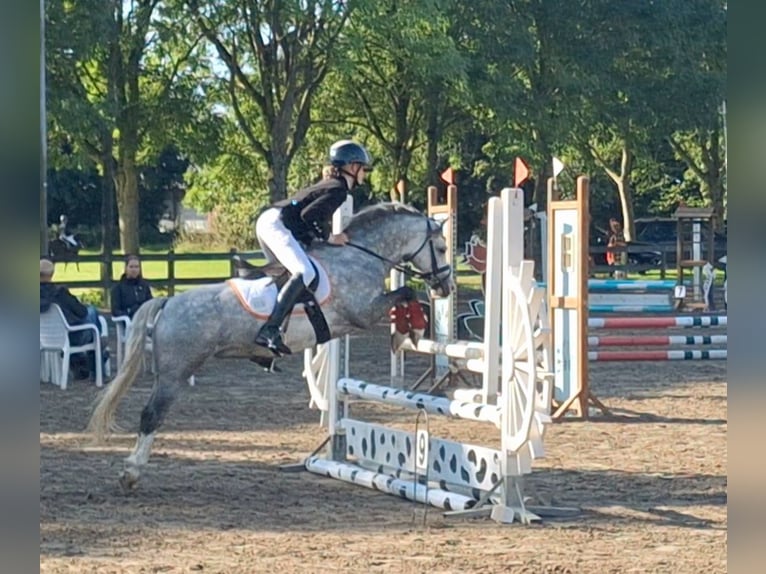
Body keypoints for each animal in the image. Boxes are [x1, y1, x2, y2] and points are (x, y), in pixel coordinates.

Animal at [87, 201, 456, 490]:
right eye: (440, 248)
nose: (446, 287)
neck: (358, 256)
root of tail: (167, 303)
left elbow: (406, 297)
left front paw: (409, 328)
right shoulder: (363, 312)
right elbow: (406, 292)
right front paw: (410, 328)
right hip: (174, 374)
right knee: (151, 415)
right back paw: (131, 472)